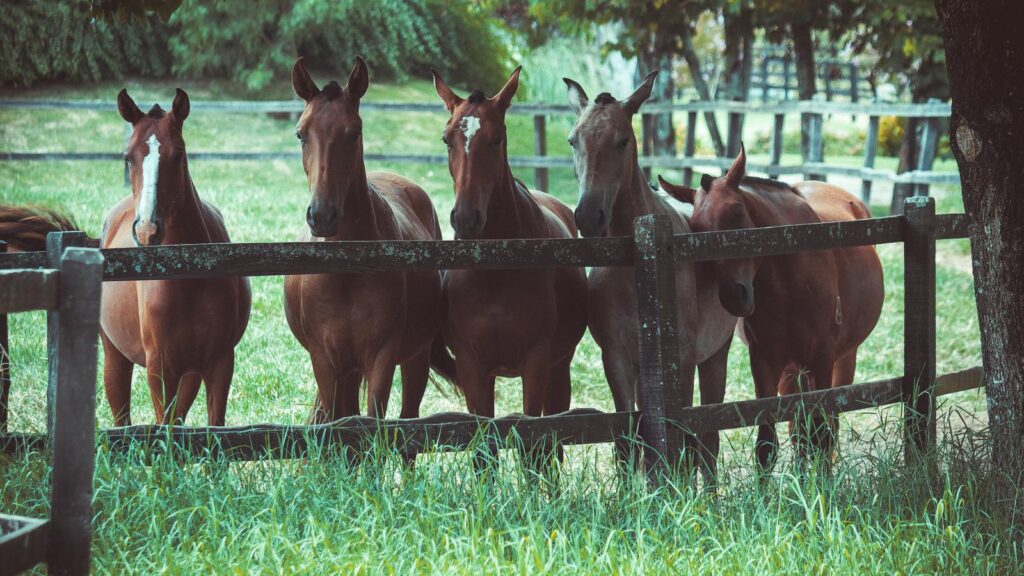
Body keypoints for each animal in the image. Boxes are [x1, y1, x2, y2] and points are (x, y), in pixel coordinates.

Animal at [284, 57, 447, 423]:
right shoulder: (325, 361)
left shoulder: (382, 358)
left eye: (354, 132)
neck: (347, 271)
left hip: (414, 358)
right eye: (301, 134)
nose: (322, 215)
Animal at [431, 67, 587, 445]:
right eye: (446, 139)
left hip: (559, 369)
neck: (495, 271)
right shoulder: (472, 366)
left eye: (497, 139)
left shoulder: (537, 361)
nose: (466, 218)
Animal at [563, 74, 736, 480]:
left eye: (623, 140)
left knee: (708, 440)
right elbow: (628, 441)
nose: (588, 217)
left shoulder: (681, 361)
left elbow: (682, 441)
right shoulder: (617, 359)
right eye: (573, 140)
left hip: (715, 355)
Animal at [659, 147, 884, 470]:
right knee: (799, 430)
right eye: (697, 229)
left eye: (737, 213)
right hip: (792, 371)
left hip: (842, 360)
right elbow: (767, 445)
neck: (792, 278)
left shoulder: (822, 360)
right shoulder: (766, 362)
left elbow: (821, 435)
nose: (733, 296)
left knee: (826, 427)